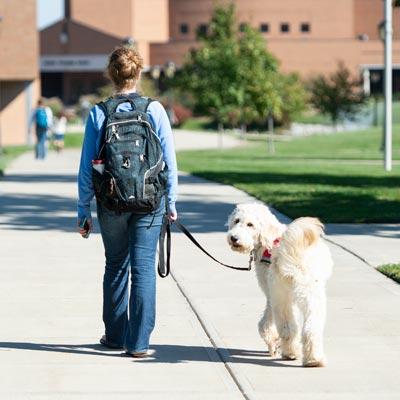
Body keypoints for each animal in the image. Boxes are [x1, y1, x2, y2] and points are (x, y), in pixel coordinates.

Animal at [227, 203, 332, 366]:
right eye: (237, 220)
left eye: (250, 224)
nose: (233, 238)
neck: (268, 240)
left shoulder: (269, 294)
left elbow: (264, 324)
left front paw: (272, 342)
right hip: (305, 295)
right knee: (305, 328)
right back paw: (310, 358)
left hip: (282, 294)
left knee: (289, 326)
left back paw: (293, 353)